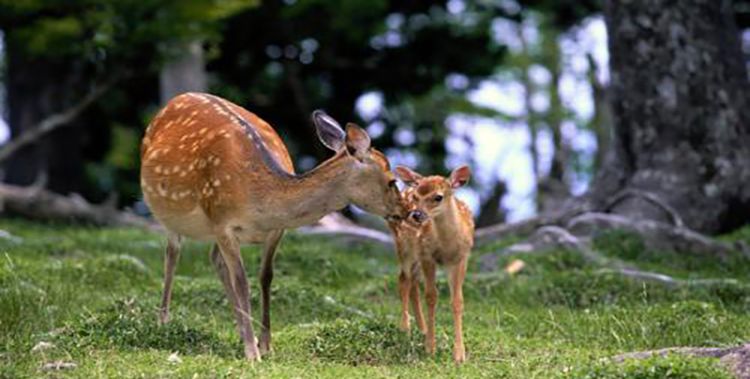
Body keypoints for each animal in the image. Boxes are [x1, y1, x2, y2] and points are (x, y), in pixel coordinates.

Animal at [137, 93, 402, 362]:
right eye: (392, 181)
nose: (406, 212)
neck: (261, 198)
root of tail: (177, 98)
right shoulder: (222, 222)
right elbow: (242, 281)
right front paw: (252, 353)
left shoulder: (275, 230)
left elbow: (266, 277)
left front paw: (264, 343)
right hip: (170, 213)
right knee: (172, 255)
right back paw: (163, 322)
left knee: (215, 259)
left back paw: (243, 331)